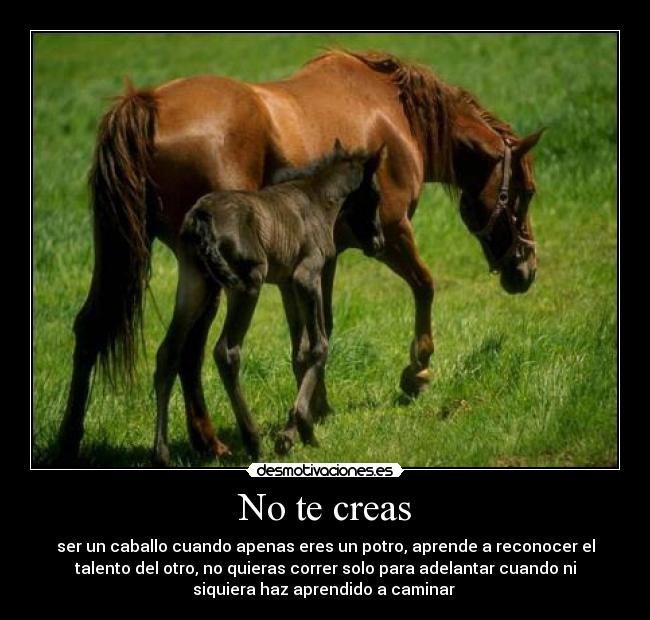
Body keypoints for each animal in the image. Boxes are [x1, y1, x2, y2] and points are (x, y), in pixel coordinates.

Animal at [154, 141, 385, 465]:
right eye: (376, 194)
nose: (379, 242)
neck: (316, 200)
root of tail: (201, 216)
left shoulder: (287, 285)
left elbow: (299, 352)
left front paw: (298, 432)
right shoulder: (306, 276)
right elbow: (319, 345)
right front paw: (296, 430)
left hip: (194, 284)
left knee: (168, 353)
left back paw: (160, 453)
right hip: (247, 284)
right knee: (226, 352)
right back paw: (252, 441)